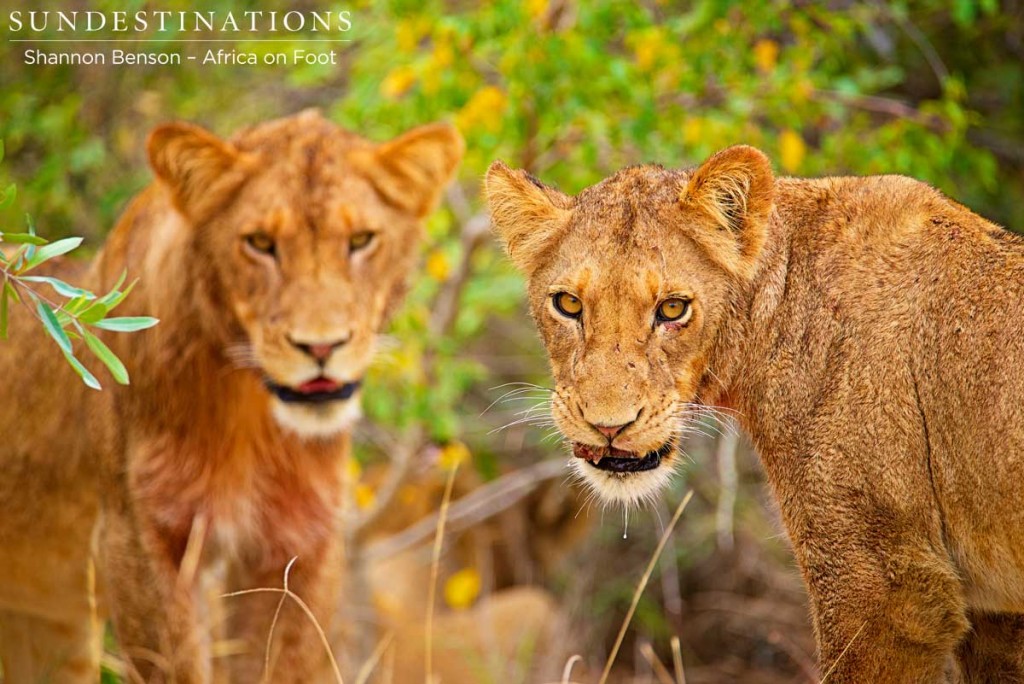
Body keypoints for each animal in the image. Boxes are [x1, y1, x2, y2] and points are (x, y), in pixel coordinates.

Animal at [0, 109, 464, 679]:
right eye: (260, 243)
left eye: (361, 240)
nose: (321, 346)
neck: (251, 416)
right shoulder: (139, 539)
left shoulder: (299, 544)